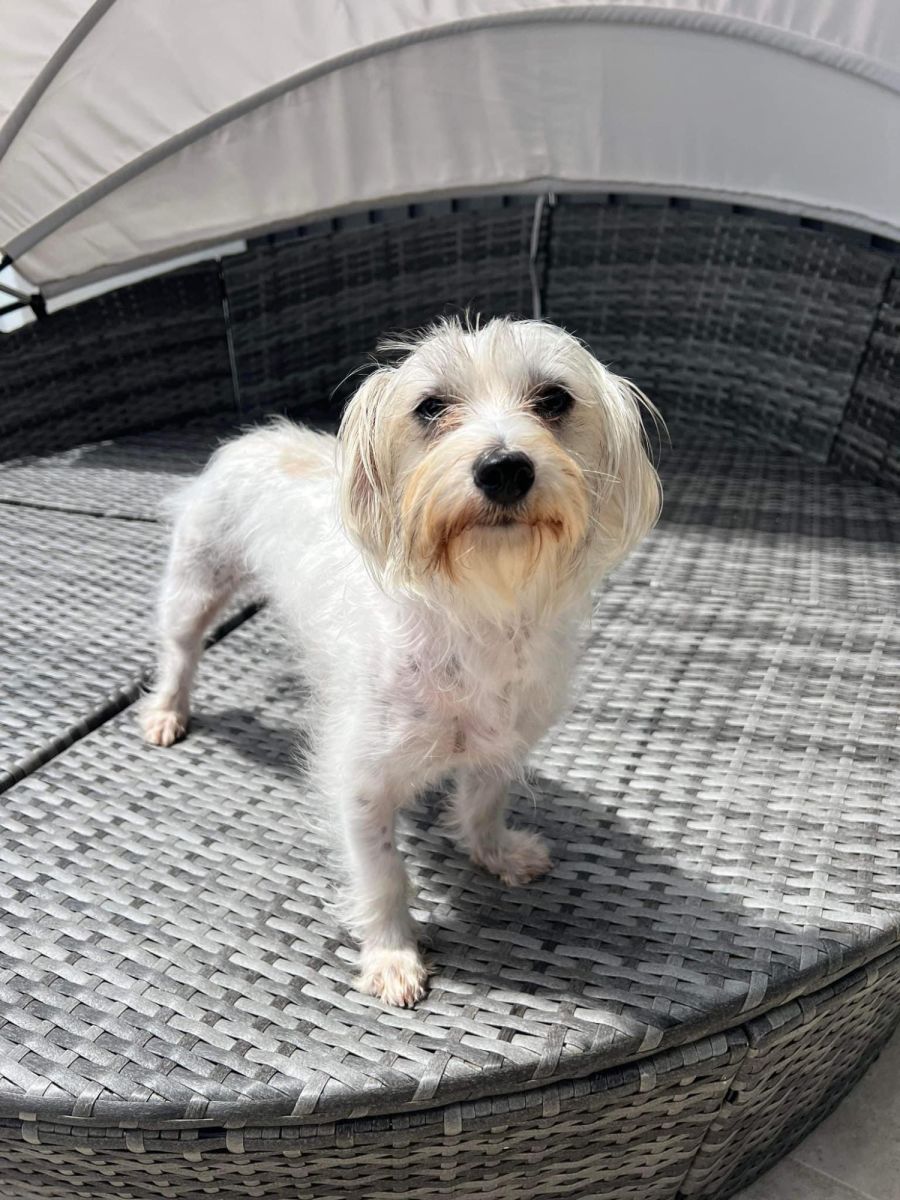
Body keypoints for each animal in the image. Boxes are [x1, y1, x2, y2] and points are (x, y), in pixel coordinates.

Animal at [140, 317, 661, 1006]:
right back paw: (167, 713)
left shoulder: (502, 745)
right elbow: (384, 874)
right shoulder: (360, 783)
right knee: (179, 653)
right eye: (431, 407)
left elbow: (483, 805)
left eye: (554, 399)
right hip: (195, 586)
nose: (503, 468)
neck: (475, 610)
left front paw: (496, 853)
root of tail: (252, 437)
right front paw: (392, 957)